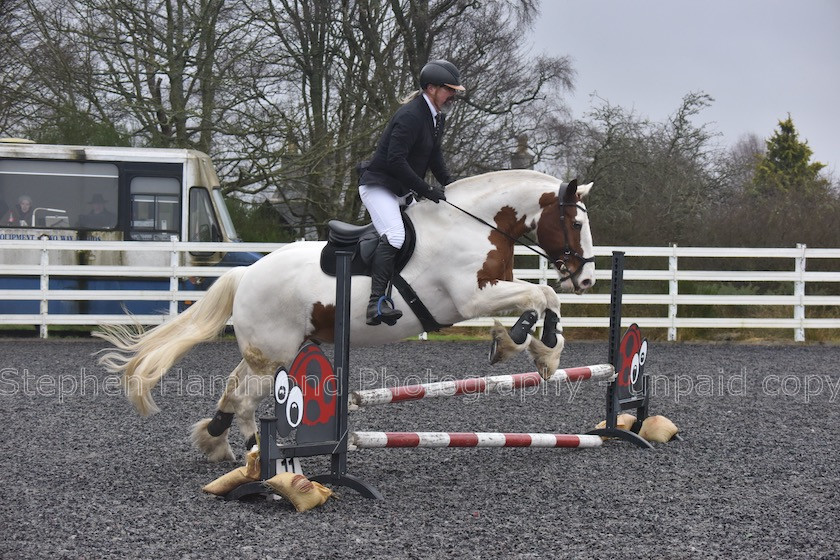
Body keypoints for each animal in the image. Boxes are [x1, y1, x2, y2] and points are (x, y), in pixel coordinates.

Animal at [95, 170, 596, 460]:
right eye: (575, 222)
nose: (587, 278)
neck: (474, 224)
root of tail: (247, 273)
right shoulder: (471, 298)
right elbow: (541, 296)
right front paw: (523, 343)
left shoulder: (490, 291)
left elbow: (544, 297)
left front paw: (541, 350)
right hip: (273, 355)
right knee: (245, 400)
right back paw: (254, 456)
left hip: (269, 352)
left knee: (235, 395)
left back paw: (220, 443)